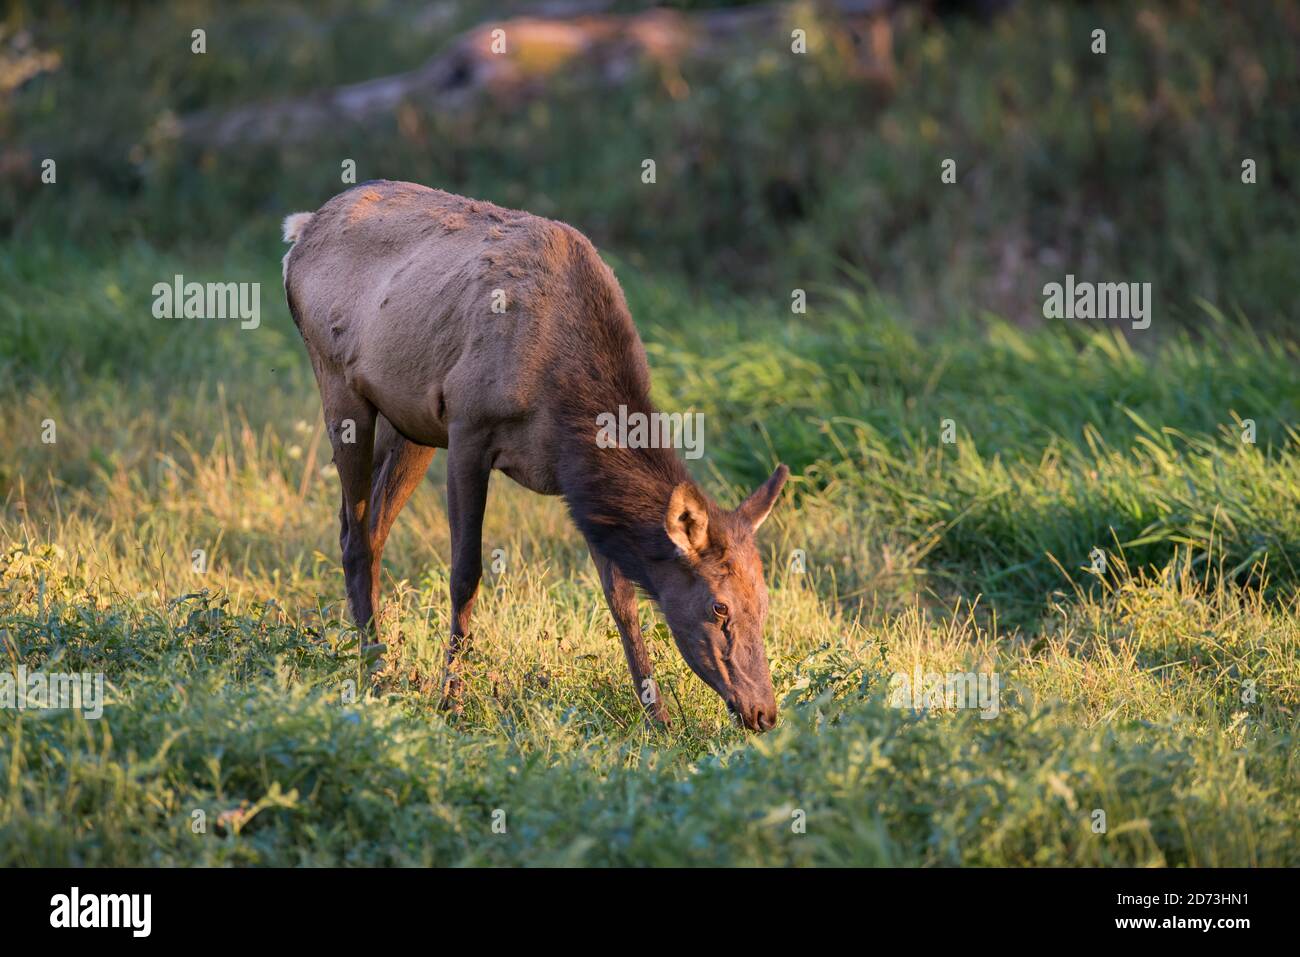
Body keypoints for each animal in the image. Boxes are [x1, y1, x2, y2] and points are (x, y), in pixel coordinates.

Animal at [280, 180, 785, 733]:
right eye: (719, 608)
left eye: (764, 604)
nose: (763, 710)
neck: (565, 404)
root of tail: (300, 232)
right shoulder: (467, 425)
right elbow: (465, 574)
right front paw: (451, 701)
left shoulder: (577, 485)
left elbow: (621, 600)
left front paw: (660, 721)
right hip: (339, 384)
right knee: (355, 537)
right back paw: (373, 675)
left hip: (409, 424)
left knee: (366, 528)